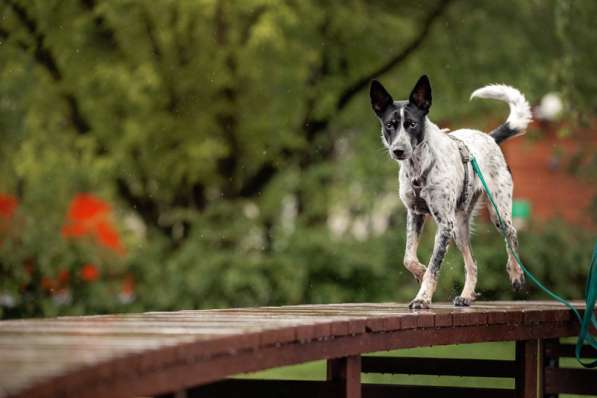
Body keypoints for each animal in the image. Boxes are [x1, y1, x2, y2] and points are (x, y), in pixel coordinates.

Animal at [368, 76, 532, 310]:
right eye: (389, 124)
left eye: (412, 124)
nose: (398, 150)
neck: (419, 168)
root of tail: (489, 137)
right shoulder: (415, 214)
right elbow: (408, 258)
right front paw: (419, 272)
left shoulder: (444, 224)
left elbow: (434, 267)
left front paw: (422, 297)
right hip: (459, 228)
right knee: (472, 264)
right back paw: (466, 295)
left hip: (498, 212)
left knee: (512, 235)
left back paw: (516, 273)